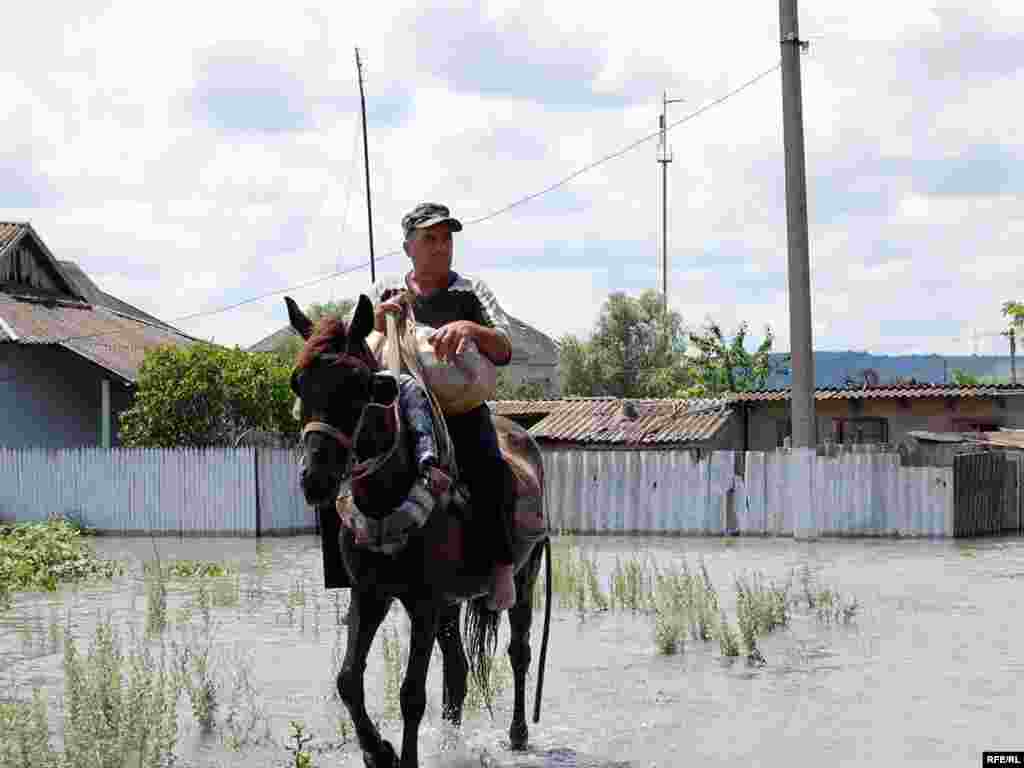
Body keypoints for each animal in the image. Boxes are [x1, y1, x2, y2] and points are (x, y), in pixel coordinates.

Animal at [284, 294, 557, 768]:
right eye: (299, 383)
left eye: (358, 384)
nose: (315, 479)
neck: (387, 493)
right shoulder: (371, 595)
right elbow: (348, 681)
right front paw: (379, 751)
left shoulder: (425, 603)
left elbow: (411, 694)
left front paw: (400, 756)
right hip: (450, 603)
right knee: (458, 670)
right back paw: (451, 743)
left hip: (525, 575)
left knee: (519, 652)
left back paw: (519, 733)